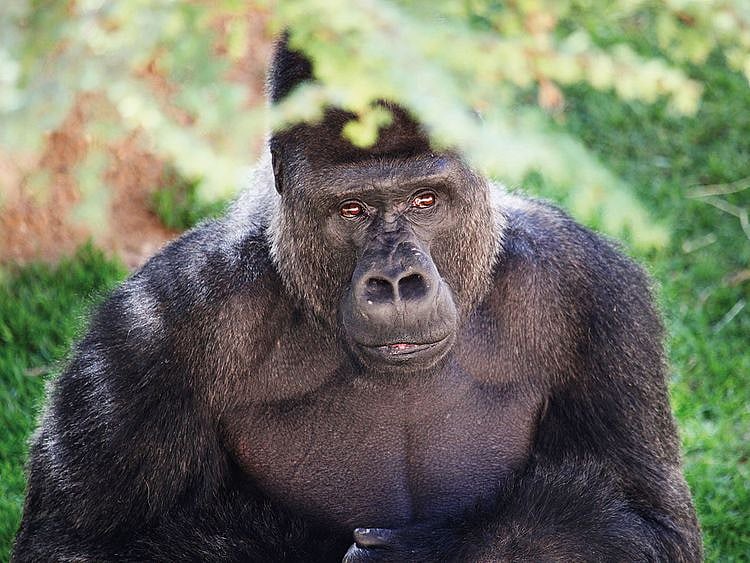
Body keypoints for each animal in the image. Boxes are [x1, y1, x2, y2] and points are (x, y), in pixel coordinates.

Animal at [12, 37, 701, 562]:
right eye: (352, 209)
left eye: (426, 199)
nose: (396, 283)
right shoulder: (149, 334)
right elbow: (73, 544)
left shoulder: (594, 293)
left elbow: (650, 523)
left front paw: (434, 554)